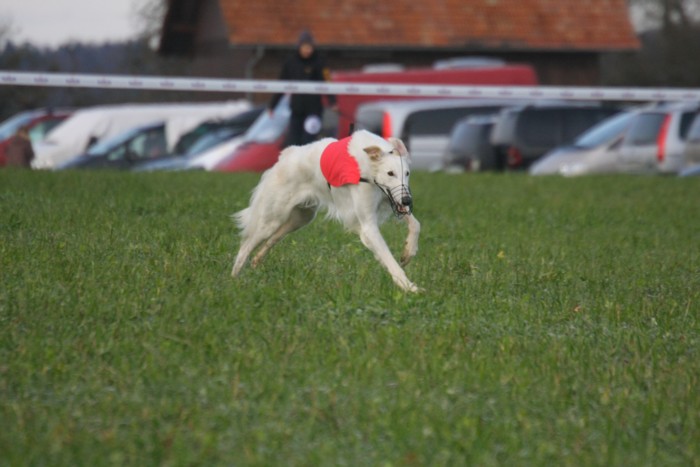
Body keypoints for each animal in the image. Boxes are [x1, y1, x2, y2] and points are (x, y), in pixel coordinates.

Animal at [231, 130, 421, 292]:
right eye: (390, 173)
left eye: (407, 173)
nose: (408, 200)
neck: (368, 168)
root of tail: (286, 155)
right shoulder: (368, 225)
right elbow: (389, 259)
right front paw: (409, 287)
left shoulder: (392, 199)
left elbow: (416, 224)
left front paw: (408, 252)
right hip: (272, 220)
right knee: (245, 247)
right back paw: (234, 279)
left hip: (301, 218)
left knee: (272, 240)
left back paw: (256, 261)